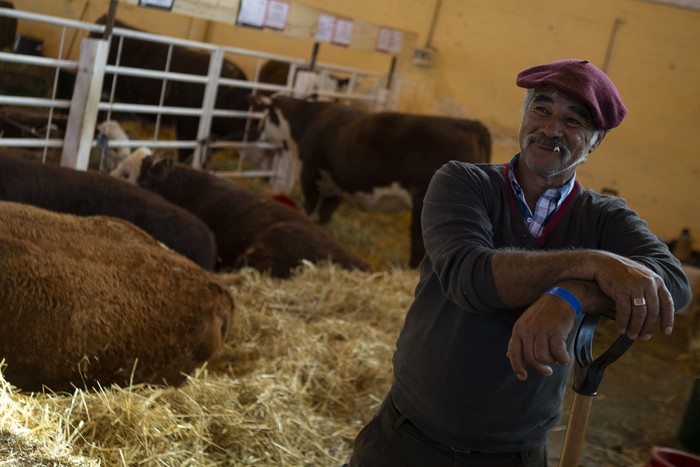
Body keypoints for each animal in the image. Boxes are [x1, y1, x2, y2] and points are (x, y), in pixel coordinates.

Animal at [254, 96, 490, 266]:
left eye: (265, 116)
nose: (258, 130)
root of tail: (470, 124)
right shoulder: (335, 184)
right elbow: (325, 213)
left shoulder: (310, 173)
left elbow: (310, 208)